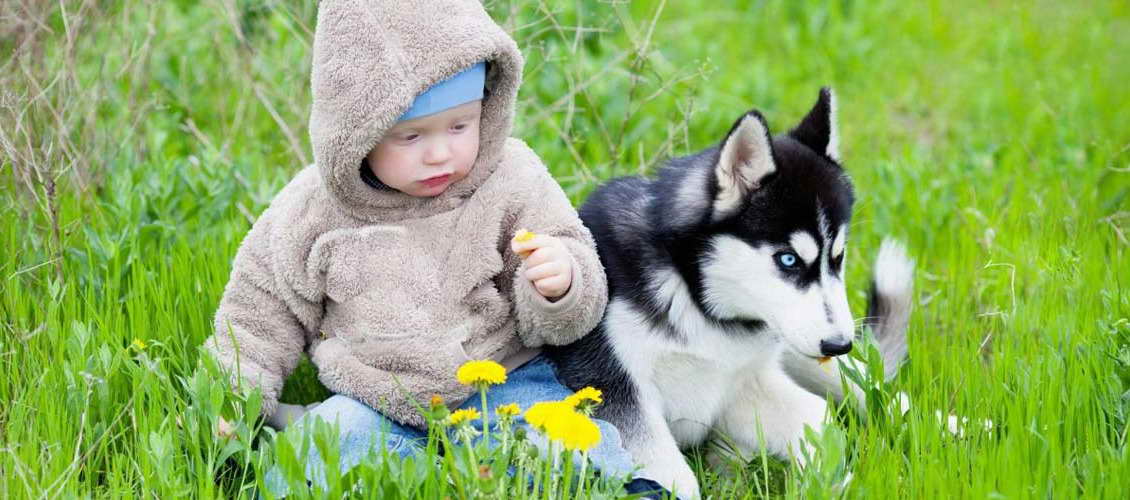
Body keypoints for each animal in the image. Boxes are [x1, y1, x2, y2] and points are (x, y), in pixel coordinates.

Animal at [546, 87, 917, 497]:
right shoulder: (614, 387)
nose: (839, 344)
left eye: (838, 258)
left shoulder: (747, 380)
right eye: (788, 259)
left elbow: (816, 422)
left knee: (879, 390)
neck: (693, 295)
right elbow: (675, 477)